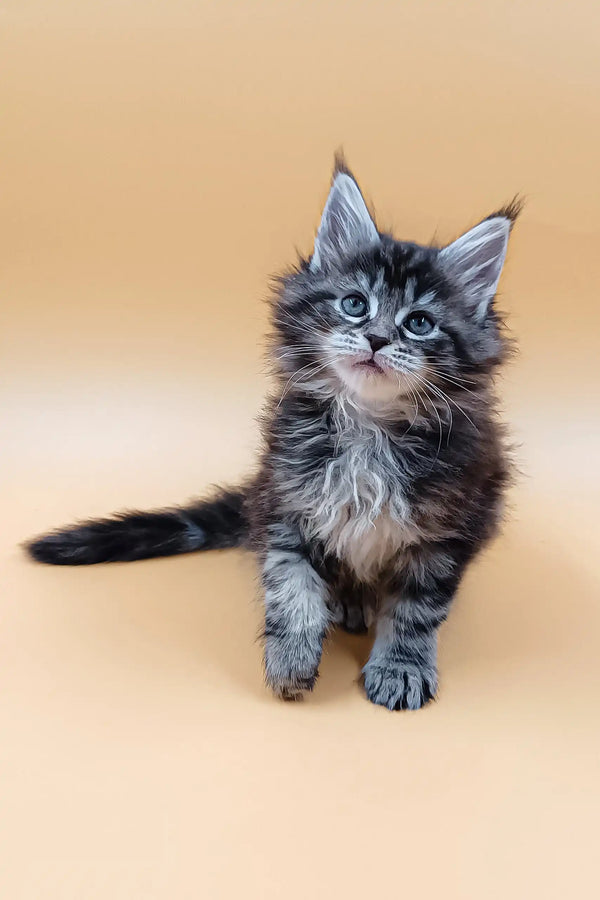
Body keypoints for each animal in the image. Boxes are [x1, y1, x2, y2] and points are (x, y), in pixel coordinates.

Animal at [27, 158, 520, 712]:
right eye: (355, 304)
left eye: (419, 323)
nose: (376, 339)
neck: (369, 431)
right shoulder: (287, 499)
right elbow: (291, 585)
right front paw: (291, 659)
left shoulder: (450, 528)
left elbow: (416, 610)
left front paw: (401, 667)